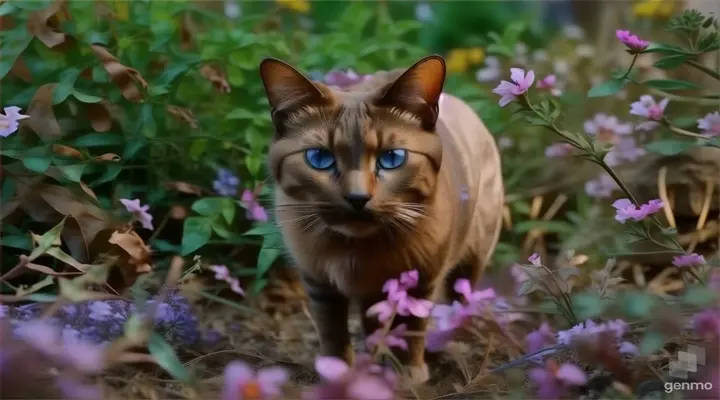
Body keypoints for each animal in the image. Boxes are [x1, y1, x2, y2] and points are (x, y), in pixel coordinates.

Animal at [260, 54, 506, 382]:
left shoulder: (421, 278)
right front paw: (338, 372)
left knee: (459, 295)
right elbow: (333, 332)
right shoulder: (319, 282)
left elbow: (410, 326)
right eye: (320, 159)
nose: (357, 198)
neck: (356, 253)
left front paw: (408, 372)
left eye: (392, 159)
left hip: (472, 254)